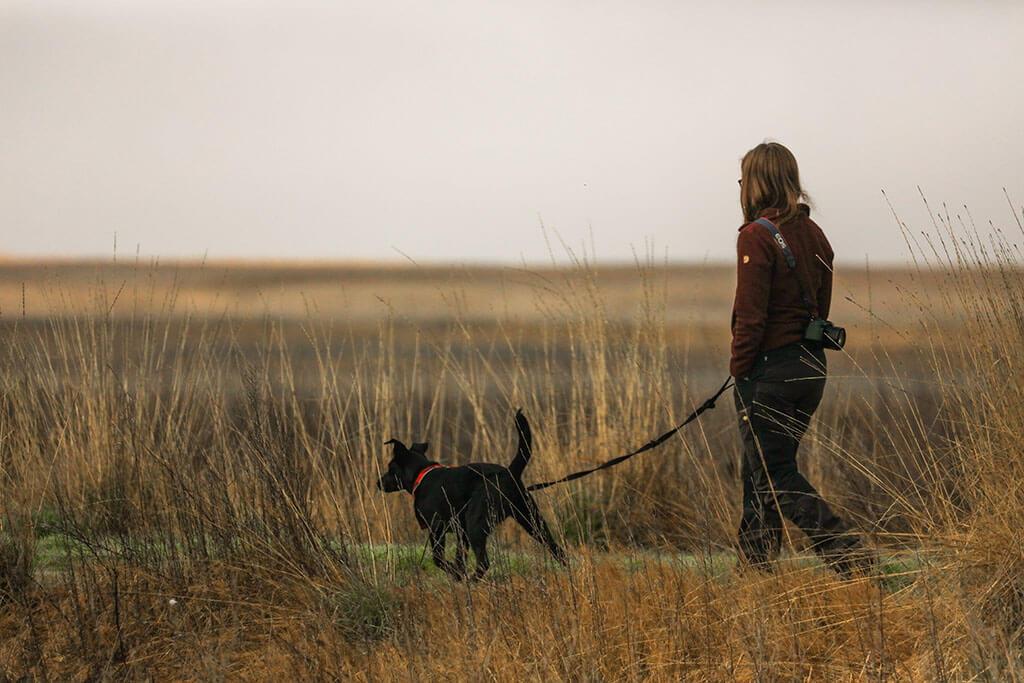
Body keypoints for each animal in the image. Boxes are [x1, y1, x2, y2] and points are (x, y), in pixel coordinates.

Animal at [378, 409, 569, 581]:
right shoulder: (461, 533)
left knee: (484, 562)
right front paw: (458, 575)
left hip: (476, 525)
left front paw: (456, 574)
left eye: (390, 467)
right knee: (557, 550)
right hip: (532, 520)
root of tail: (509, 473)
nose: (378, 482)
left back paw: (473, 580)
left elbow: (438, 559)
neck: (422, 474)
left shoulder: (437, 527)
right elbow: (459, 558)